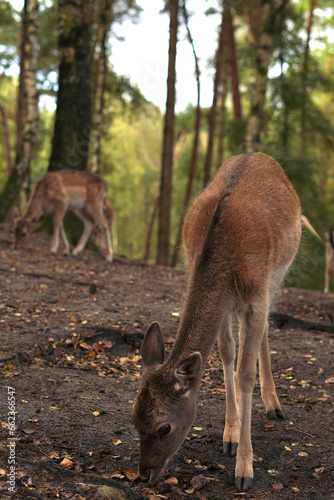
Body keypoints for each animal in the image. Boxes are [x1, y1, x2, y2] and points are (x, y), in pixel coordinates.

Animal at [132, 151, 318, 492]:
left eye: (164, 427)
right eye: (134, 419)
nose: (144, 475)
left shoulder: (256, 295)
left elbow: (245, 373)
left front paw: (244, 470)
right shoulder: (222, 302)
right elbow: (226, 354)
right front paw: (229, 435)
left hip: (278, 273)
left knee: (266, 328)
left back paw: (274, 405)